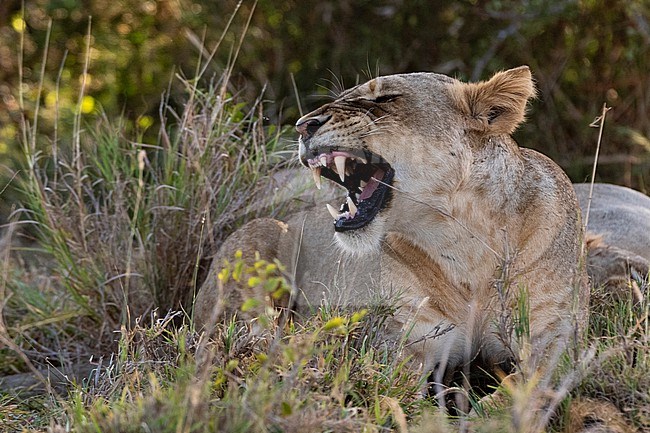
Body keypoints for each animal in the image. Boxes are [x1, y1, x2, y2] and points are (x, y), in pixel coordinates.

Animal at [194, 66, 588, 384]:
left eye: (383, 98)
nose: (303, 126)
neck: (467, 244)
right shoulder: (396, 345)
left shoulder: (555, 340)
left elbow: (521, 394)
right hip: (257, 242)